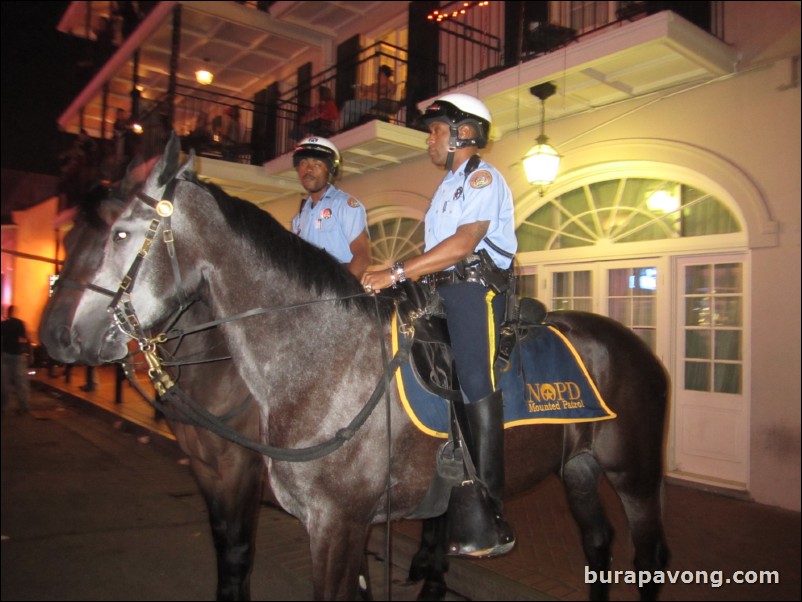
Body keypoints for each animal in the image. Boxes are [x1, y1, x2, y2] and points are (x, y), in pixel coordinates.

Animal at [42, 136, 668, 600]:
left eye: (120, 233)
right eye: (71, 235)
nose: (55, 337)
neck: (319, 361)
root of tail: (634, 345)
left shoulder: (332, 520)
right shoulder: (292, 506)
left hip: (634, 474)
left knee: (649, 556)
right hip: (580, 468)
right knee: (598, 546)